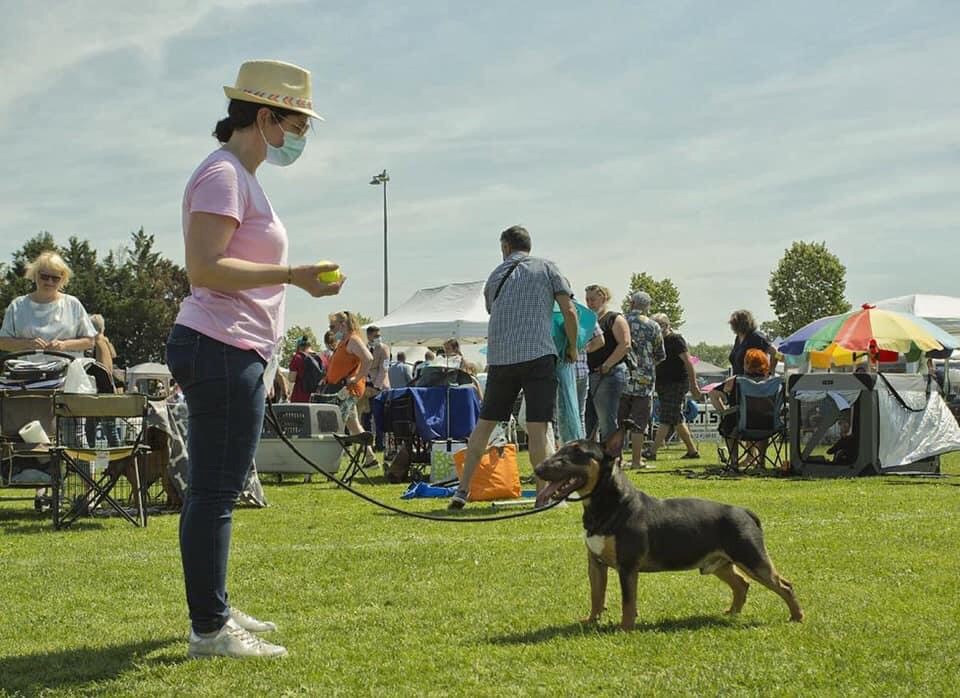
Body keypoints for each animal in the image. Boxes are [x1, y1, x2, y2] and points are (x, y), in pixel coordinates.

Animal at [534, 424, 804, 629]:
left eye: (578, 453)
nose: (538, 469)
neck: (609, 505)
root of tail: (745, 512)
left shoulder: (627, 567)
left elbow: (628, 601)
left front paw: (625, 628)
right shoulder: (596, 564)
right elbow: (596, 595)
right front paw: (590, 621)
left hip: (751, 557)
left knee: (784, 585)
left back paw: (796, 617)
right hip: (720, 563)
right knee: (742, 584)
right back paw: (731, 613)